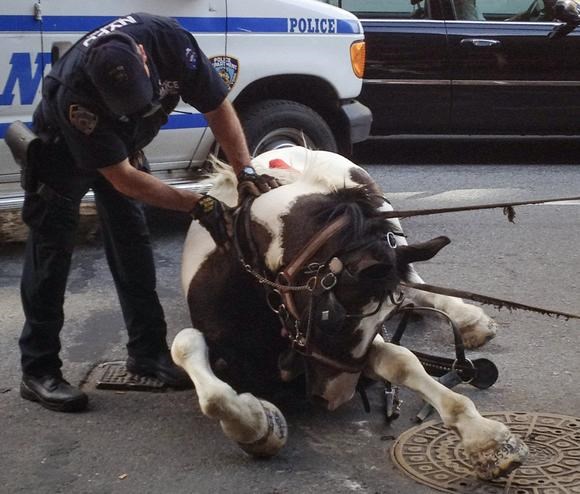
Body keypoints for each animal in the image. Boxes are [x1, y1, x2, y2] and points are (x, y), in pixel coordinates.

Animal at [171, 146, 532, 478]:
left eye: (384, 317)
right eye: (331, 318)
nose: (336, 396)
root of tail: (290, 147)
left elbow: (401, 361)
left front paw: (487, 438)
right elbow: (197, 366)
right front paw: (261, 426)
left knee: (416, 283)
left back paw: (469, 319)